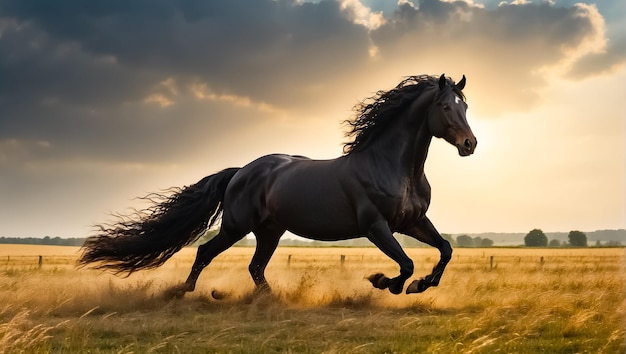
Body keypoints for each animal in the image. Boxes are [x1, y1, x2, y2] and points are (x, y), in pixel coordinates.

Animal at [78, 74, 472, 296]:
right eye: (444, 106)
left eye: (464, 107)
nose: (470, 144)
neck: (394, 167)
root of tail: (240, 172)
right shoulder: (376, 226)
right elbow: (406, 263)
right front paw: (384, 282)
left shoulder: (413, 222)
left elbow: (445, 250)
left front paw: (423, 285)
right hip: (237, 226)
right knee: (205, 252)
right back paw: (182, 293)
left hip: (270, 231)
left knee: (255, 267)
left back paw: (269, 298)